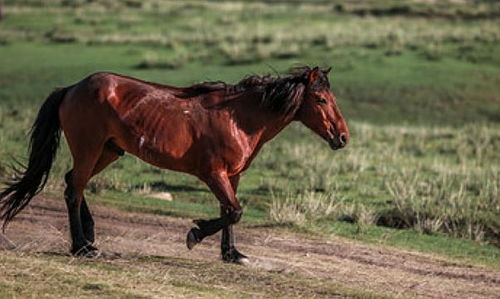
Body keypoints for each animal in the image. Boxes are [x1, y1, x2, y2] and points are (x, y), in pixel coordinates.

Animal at [0, 66, 350, 264]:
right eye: (320, 100)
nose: (342, 137)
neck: (239, 118)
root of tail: (72, 88)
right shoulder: (214, 174)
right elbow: (234, 211)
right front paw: (194, 234)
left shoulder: (232, 176)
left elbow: (230, 211)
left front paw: (232, 255)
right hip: (89, 149)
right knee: (74, 190)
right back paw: (82, 248)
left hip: (108, 152)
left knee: (74, 183)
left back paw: (90, 240)